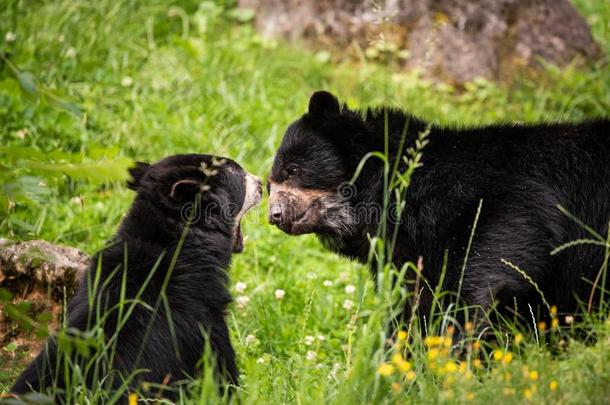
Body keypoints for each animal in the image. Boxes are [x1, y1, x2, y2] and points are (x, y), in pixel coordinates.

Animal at [268, 90, 608, 336]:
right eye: (270, 185)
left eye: (293, 170)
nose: (275, 215)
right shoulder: (410, 257)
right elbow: (414, 304)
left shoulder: (508, 206)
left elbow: (488, 275)